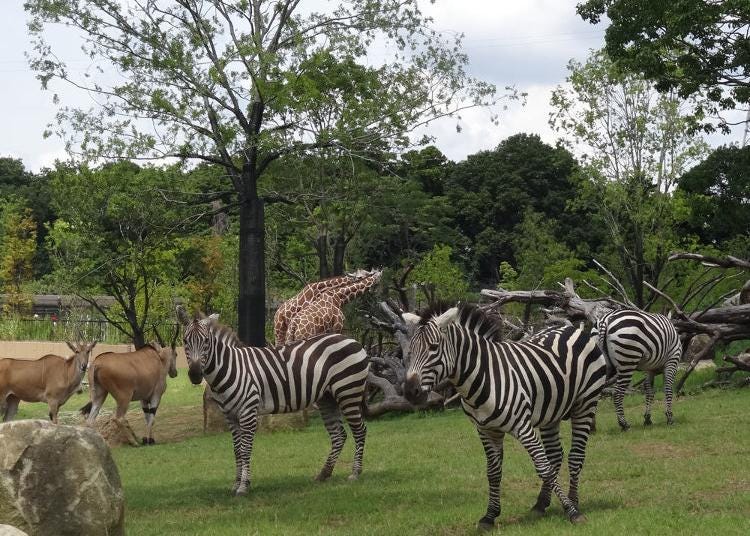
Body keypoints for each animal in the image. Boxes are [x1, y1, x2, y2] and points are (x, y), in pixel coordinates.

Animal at [179, 306, 374, 494]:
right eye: (185, 341)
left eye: (206, 341)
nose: (195, 375)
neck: (232, 368)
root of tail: (351, 340)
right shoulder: (230, 416)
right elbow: (236, 450)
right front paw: (236, 483)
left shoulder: (248, 412)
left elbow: (245, 449)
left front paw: (244, 486)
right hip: (328, 398)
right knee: (339, 435)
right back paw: (324, 474)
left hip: (348, 392)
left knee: (360, 431)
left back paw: (355, 473)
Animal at [402, 304, 608, 528]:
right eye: (410, 351)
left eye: (433, 347)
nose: (410, 391)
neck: (484, 376)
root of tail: (571, 328)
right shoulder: (485, 430)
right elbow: (493, 472)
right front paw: (489, 516)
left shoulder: (523, 427)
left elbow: (543, 467)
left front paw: (572, 511)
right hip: (551, 412)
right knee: (555, 455)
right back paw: (541, 504)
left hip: (586, 403)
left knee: (575, 456)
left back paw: (574, 502)